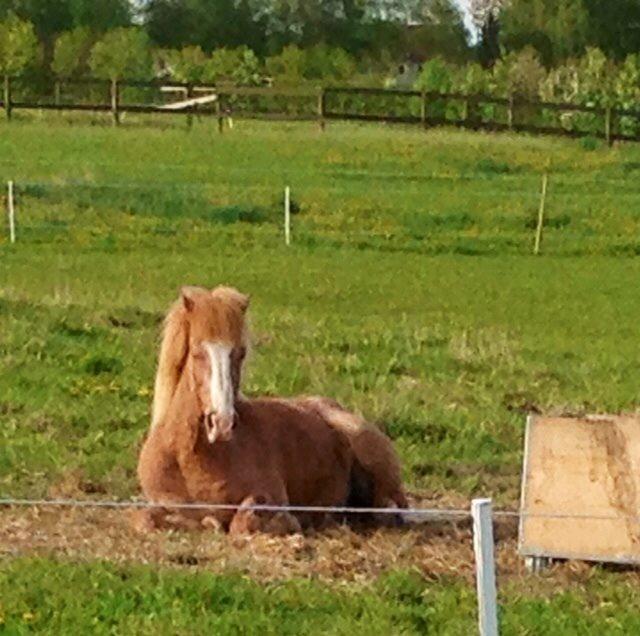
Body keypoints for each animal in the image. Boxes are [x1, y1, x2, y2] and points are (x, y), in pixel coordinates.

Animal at [136, 286, 404, 536]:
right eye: (196, 352)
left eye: (241, 353)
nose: (221, 423)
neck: (192, 458)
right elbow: (146, 518)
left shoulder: (269, 494)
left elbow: (243, 522)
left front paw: (289, 521)